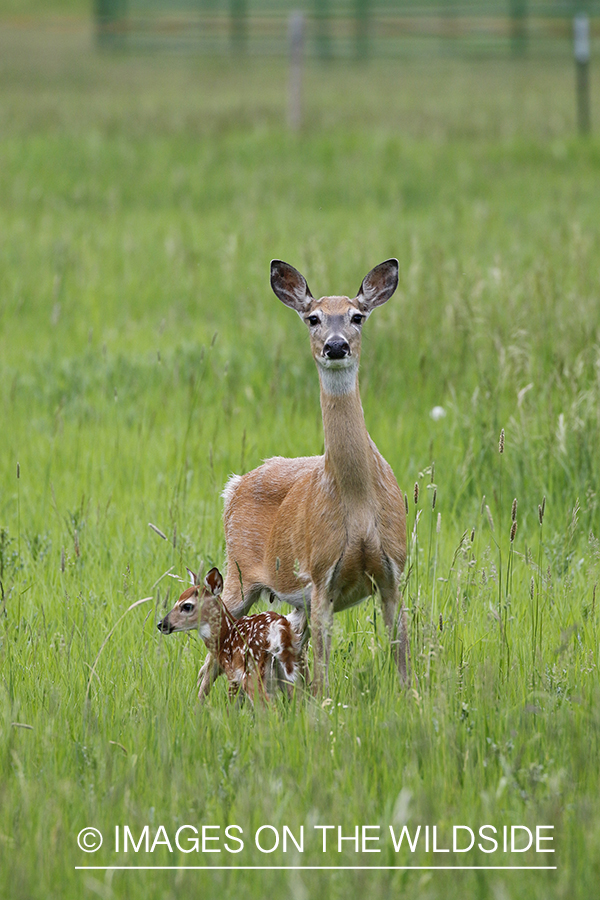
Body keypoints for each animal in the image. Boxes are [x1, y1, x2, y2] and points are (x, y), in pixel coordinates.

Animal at [157, 568, 302, 704]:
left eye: (187, 606)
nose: (161, 624)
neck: (224, 637)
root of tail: (278, 627)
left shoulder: (233, 674)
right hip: (291, 667)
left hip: (252, 671)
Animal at [197, 258, 408, 696]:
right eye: (313, 318)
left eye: (357, 316)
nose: (336, 346)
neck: (358, 501)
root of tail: (234, 485)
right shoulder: (320, 574)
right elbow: (324, 670)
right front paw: (326, 706)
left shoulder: (393, 569)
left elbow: (401, 653)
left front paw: (410, 698)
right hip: (239, 575)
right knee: (209, 662)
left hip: (291, 603)